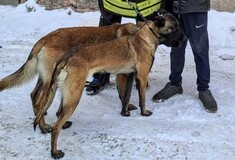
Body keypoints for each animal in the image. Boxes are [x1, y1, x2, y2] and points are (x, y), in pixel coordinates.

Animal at [33, 11, 184, 159]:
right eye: (175, 28)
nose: (184, 38)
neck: (147, 35)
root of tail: (67, 57)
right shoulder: (141, 77)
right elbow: (141, 98)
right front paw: (144, 113)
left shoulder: (129, 76)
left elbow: (126, 97)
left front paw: (125, 112)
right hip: (73, 97)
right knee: (55, 126)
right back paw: (54, 152)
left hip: (66, 93)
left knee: (55, 113)